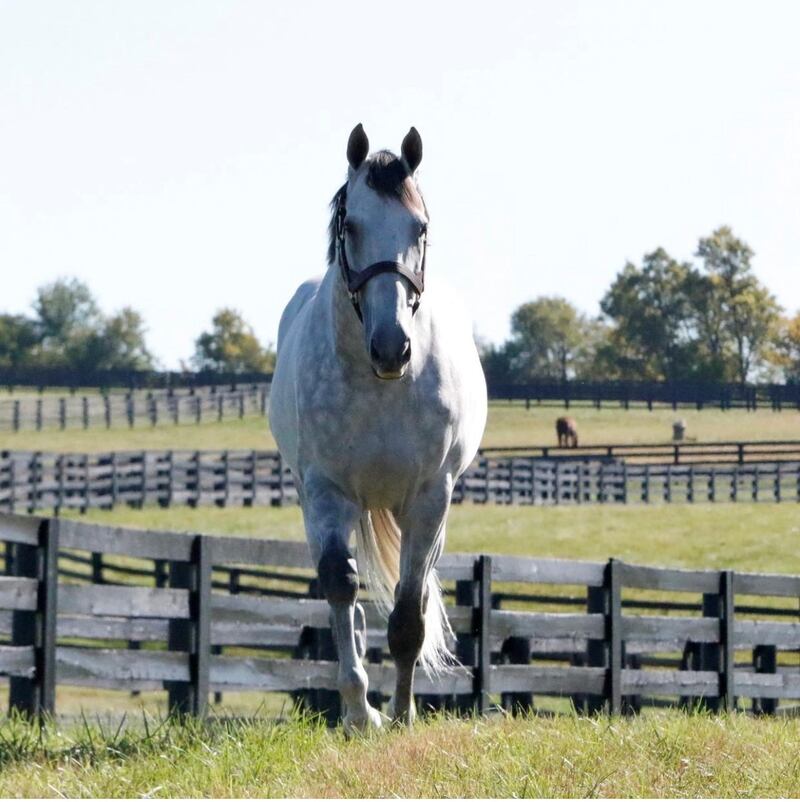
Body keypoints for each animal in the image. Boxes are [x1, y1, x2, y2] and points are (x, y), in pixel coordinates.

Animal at [268, 125, 484, 732]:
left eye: (421, 227)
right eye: (352, 226)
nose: (393, 348)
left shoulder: (430, 498)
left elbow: (410, 613)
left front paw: (403, 712)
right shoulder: (326, 491)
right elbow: (340, 584)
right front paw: (359, 709)